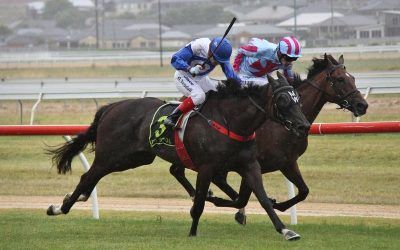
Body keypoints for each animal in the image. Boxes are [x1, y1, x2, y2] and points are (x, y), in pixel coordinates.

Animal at [46, 72, 310, 240]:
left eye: (298, 98)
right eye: (283, 99)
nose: (303, 126)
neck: (231, 121)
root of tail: (111, 107)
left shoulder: (249, 164)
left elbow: (262, 199)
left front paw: (286, 230)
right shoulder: (206, 167)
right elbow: (201, 202)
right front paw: (193, 231)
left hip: (133, 159)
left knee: (93, 178)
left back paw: (73, 200)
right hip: (111, 155)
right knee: (87, 176)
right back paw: (60, 207)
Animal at [166, 53, 368, 224]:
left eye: (353, 78)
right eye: (341, 79)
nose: (362, 105)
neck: (282, 124)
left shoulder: (287, 162)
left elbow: (303, 191)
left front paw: (277, 204)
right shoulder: (252, 163)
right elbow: (242, 198)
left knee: (183, 171)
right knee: (182, 171)